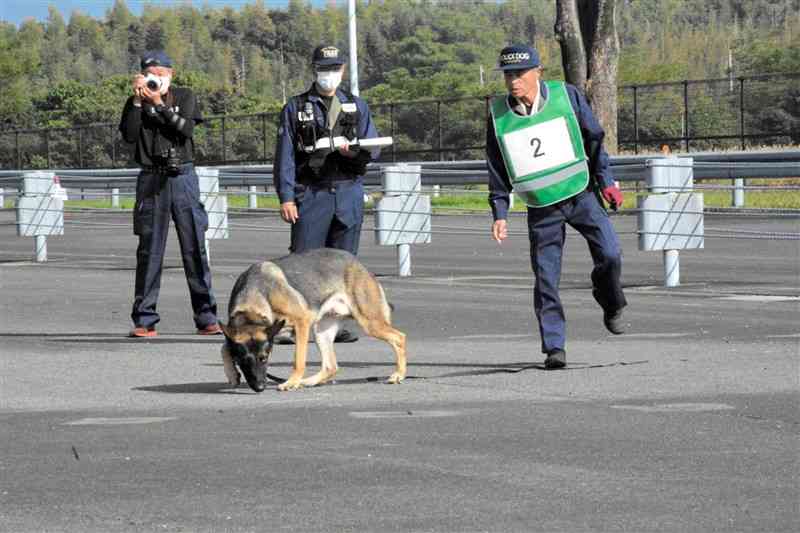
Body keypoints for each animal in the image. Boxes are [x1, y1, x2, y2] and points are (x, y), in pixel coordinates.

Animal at [219, 248, 406, 390]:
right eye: (242, 361)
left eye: (264, 358)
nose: (259, 387)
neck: (254, 294)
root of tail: (358, 264)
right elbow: (223, 348)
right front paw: (232, 374)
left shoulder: (302, 322)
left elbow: (298, 359)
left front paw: (291, 382)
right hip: (321, 332)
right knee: (331, 366)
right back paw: (309, 381)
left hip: (369, 323)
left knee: (400, 337)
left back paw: (399, 374)